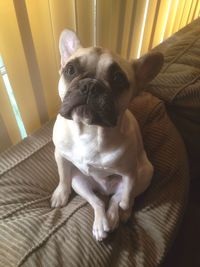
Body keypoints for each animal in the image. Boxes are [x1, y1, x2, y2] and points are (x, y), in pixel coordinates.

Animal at [50, 29, 163, 243]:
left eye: (118, 78)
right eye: (70, 70)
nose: (90, 85)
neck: (88, 130)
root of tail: (104, 189)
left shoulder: (129, 172)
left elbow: (126, 195)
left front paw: (124, 208)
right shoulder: (60, 155)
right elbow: (62, 176)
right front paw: (61, 194)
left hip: (145, 173)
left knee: (118, 199)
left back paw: (117, 215)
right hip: (79, 181)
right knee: (98, 201)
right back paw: (102, 222)